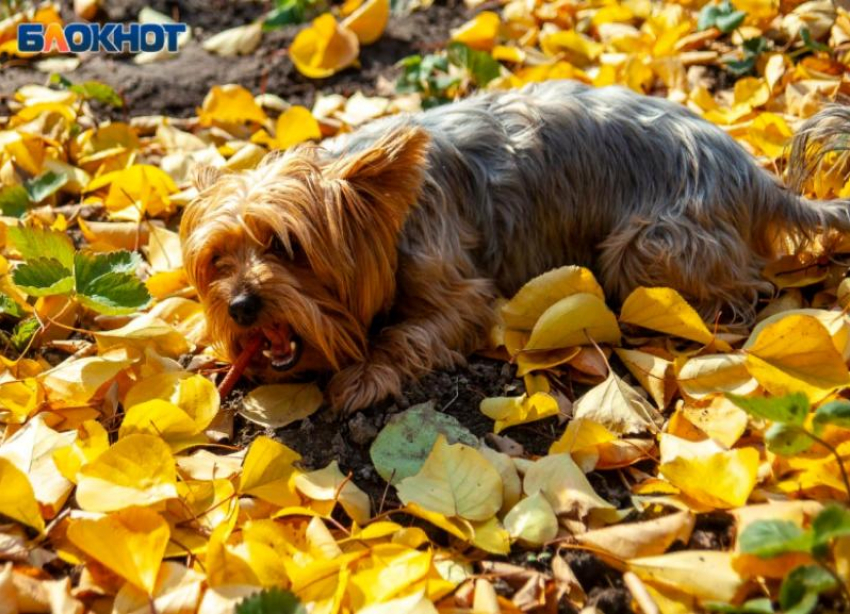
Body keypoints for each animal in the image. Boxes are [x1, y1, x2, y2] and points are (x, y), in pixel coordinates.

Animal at [179, 78, 848, 414]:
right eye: (217, 260)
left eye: (287, 245)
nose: (240, 307)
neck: (389, 217)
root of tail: (754, 176)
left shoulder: (457, 287)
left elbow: (413, 331)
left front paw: (364, 375)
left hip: (647, 246)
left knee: (737, 287)